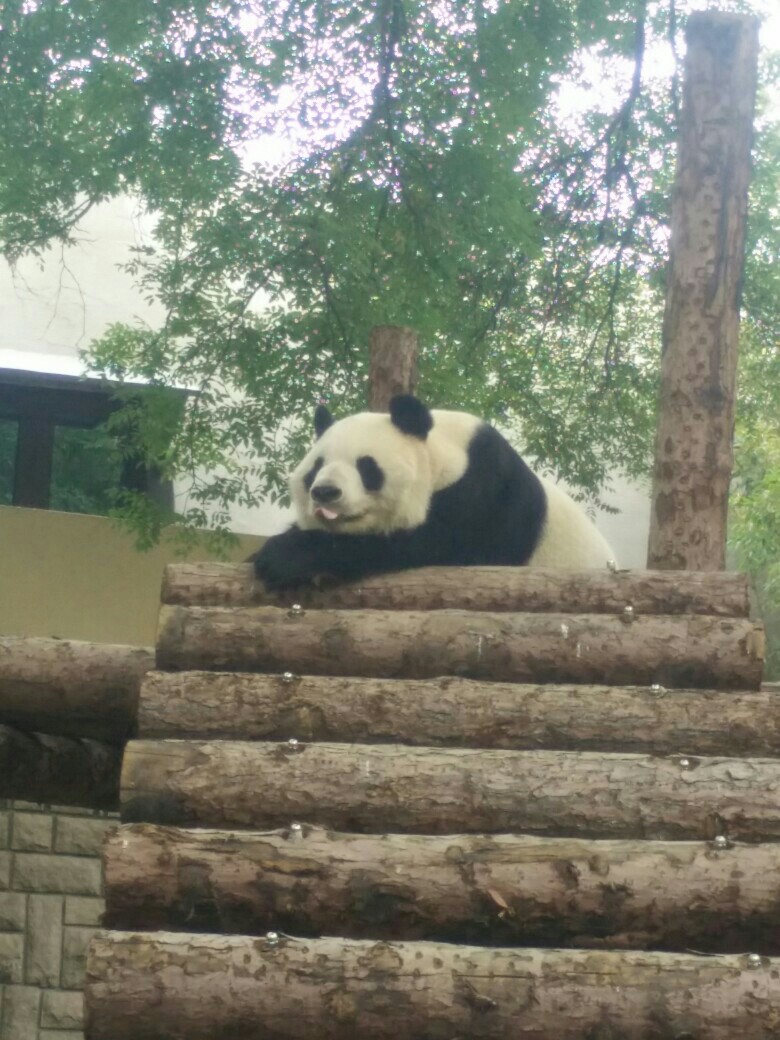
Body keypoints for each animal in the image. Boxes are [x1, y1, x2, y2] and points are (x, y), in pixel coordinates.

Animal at [253, 393, 619, 590]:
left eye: (366, 467)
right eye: (316, 467)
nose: (325, 492)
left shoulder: (488, 492)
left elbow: (436, 545)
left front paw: (283, 556)